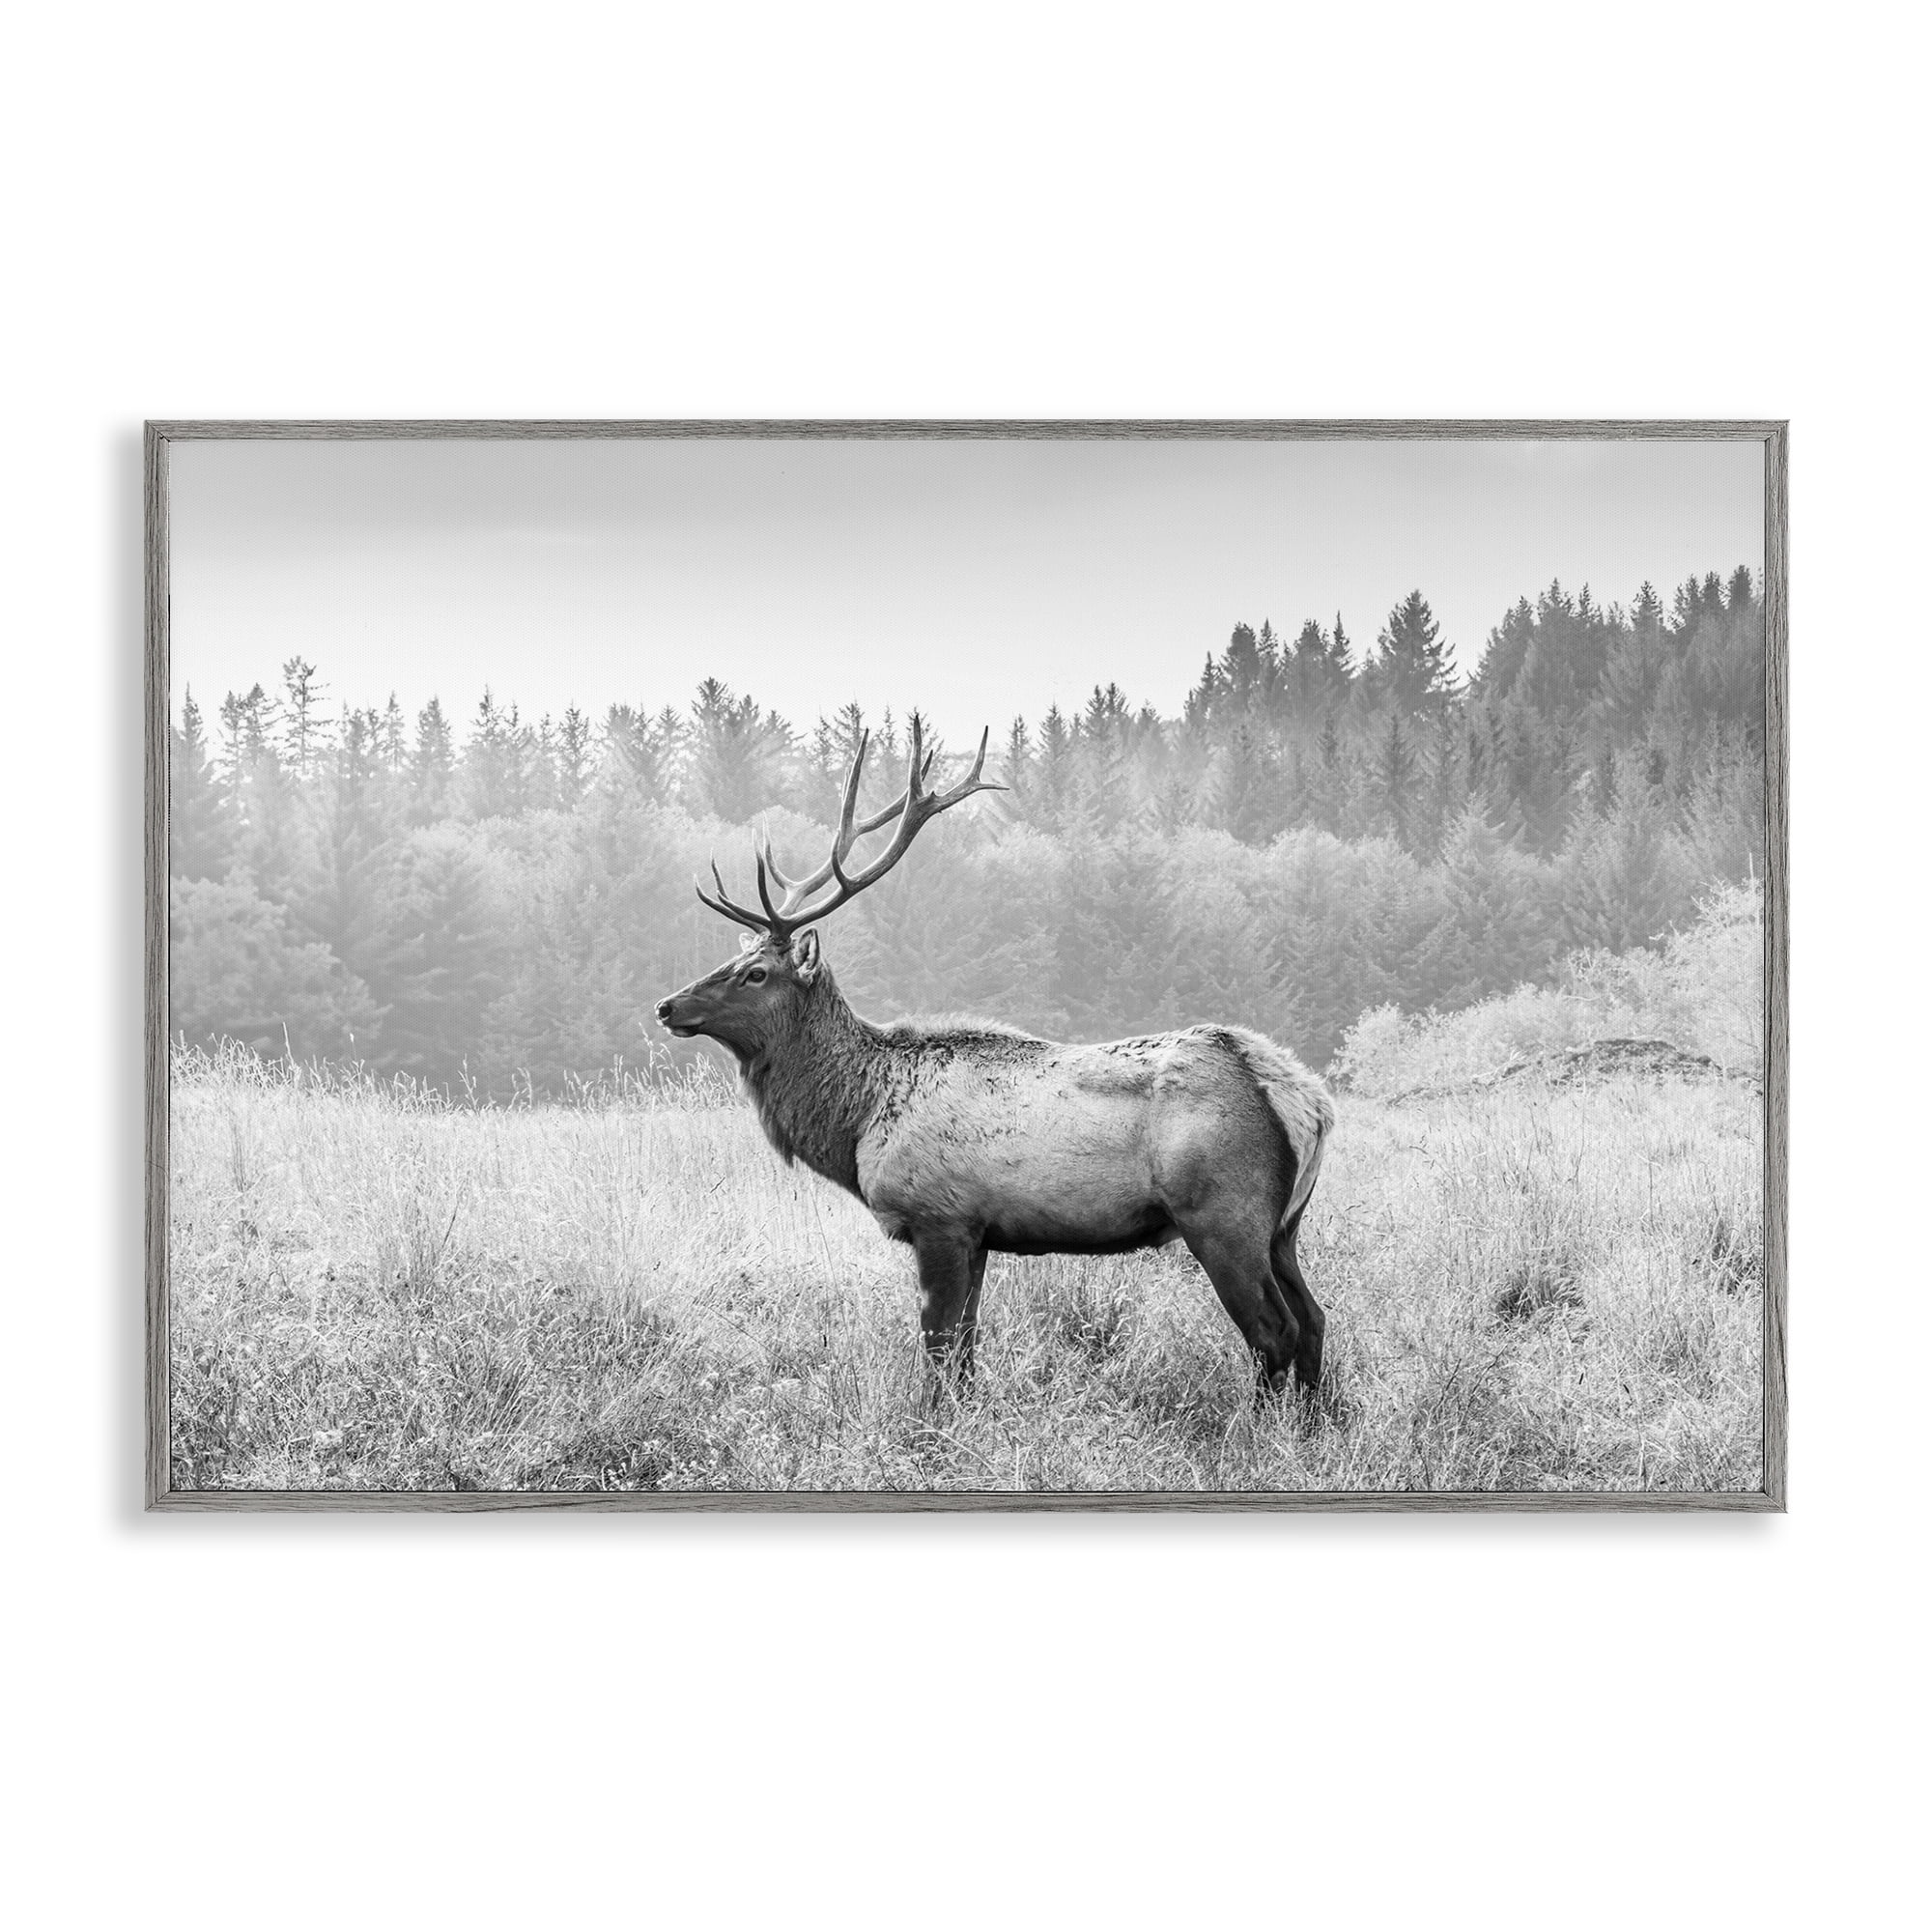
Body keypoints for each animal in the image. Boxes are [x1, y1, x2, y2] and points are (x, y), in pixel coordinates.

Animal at [654, 716, 1335, 1400]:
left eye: (756, 973)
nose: (666, 1006)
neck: (860, 1120)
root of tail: (1305, 1100)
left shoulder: (939, 1218)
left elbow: (937, 1348)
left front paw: (930, 1421)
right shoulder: (978, 1232)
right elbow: (965, 1348)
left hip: (1223, 1213)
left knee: (1273, 1331)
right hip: (1284, 1226)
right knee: (1314, 1319)